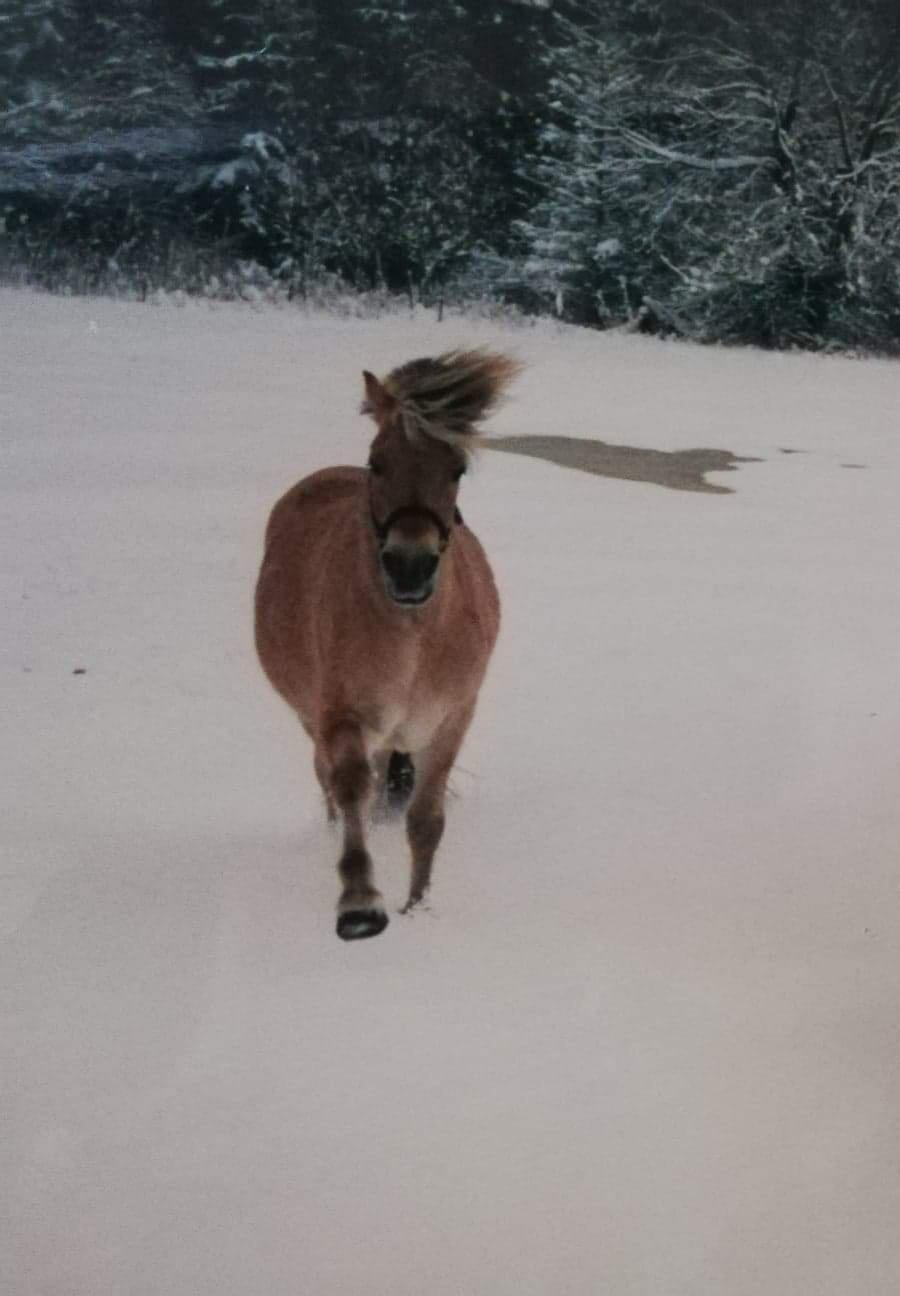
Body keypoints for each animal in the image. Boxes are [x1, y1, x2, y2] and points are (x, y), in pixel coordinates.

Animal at [254, 352, 521, 943]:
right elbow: (353, 787)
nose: (409, 567)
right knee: (334, 785)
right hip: (315, 719)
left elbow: (425, 822)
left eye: (456, 470)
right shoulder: (342, 715)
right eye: (377, 463)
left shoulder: (450, 719)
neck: (414, 636)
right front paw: (359, 904)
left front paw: (418, 909)